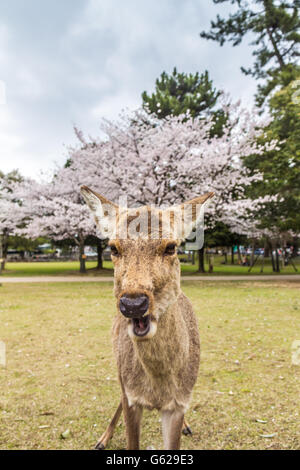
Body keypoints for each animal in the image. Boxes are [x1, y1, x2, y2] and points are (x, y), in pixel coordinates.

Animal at [81, 185, 214, 450]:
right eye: (113, 248)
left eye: (171, 247)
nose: (133, 304)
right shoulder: (131, 397)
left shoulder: (179, 403)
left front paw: (184, 426)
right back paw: (103, 439)